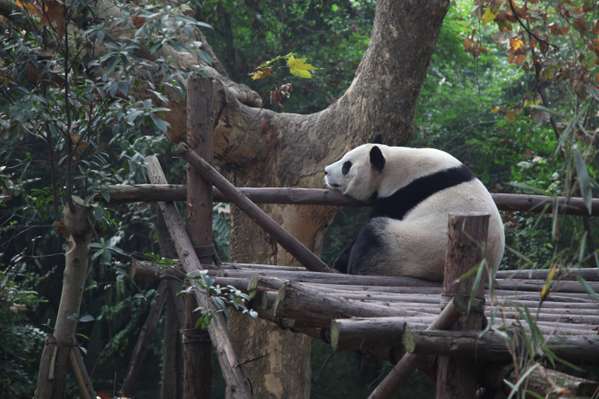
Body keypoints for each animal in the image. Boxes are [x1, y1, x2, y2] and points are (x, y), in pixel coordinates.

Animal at [326, 144, 504, 282]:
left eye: (346, 166)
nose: (326, 171)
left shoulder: (405, 195)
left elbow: (379, 215)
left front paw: (341, 259)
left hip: (413, 249)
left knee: (374, 236)